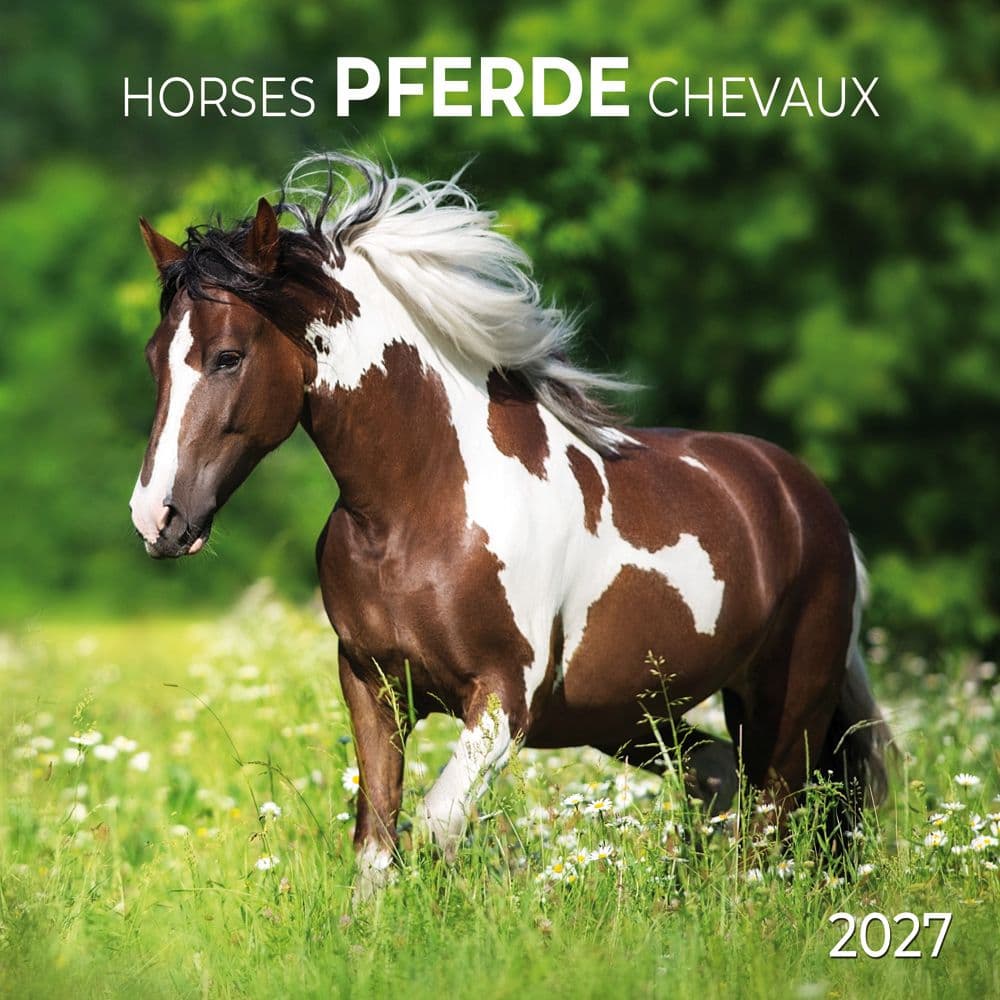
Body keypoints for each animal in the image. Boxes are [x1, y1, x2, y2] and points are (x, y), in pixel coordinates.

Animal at [129, 153, 890, 897]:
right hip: (632, 716)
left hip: (785, 709)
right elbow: (376, 843)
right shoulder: (373, 688)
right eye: (153, 357)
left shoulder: (504, 698)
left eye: (229, 356)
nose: (157, 516)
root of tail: (806, 498)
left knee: (773, 824)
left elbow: (437, 825)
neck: (418, 512)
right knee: (719, 781)